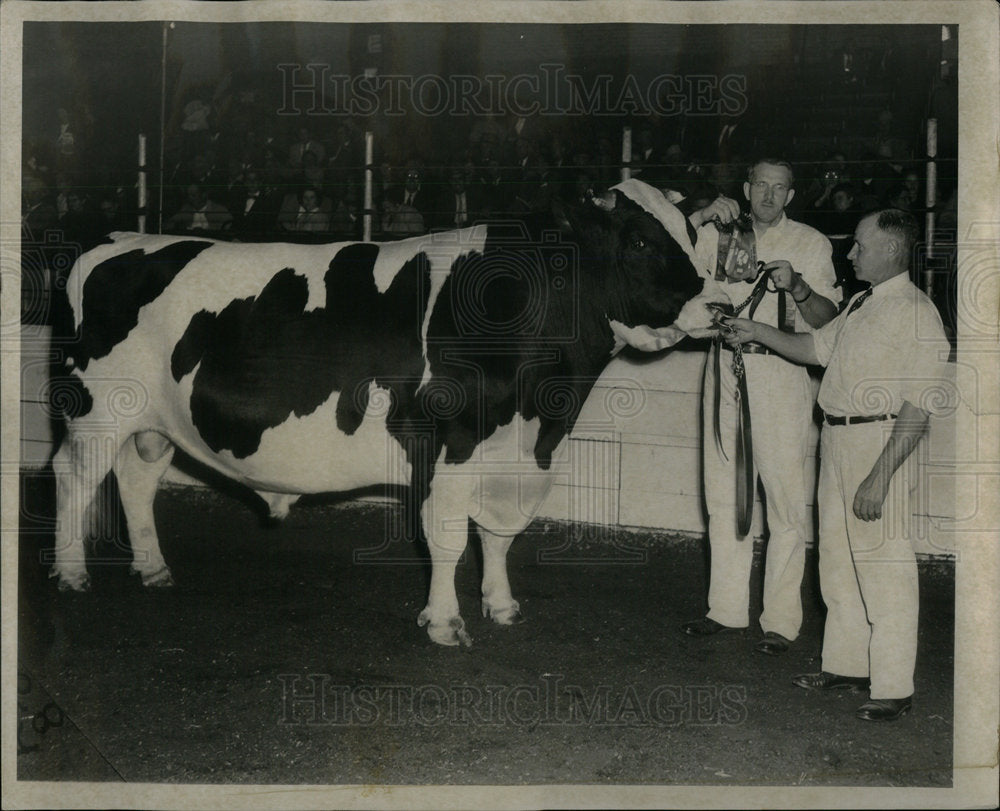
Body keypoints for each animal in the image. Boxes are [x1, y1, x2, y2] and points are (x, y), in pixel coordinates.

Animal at [52, 179, 712, 648]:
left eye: (690, 234)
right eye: (639, 240)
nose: (719, 303)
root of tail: (115, 241)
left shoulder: (521, 455)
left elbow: (498, 537)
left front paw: (500, 605)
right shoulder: (452, 445)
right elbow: (447, 536)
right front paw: (444, 622)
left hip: (155, 423)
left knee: (136, 479)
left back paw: (152, 568)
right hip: (99, 412)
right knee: (74, 478)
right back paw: (70, 572)